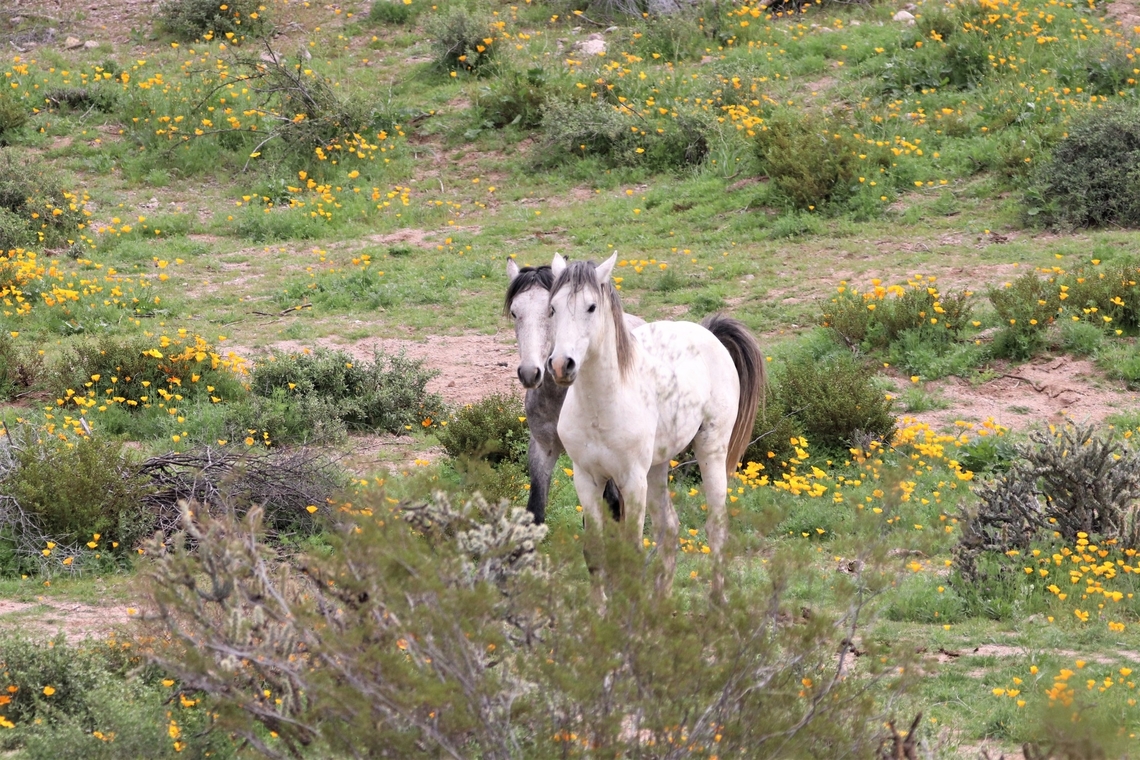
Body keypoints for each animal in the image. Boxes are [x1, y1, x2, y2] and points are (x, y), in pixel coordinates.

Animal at [545, 253, 764, 597]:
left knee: (716, 528)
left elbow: (633, 553)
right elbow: (595, 553)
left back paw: (717, 601)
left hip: (710, 451)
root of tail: (708, 332)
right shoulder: (587, 480)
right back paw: (662, 598)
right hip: (657, 467)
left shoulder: (632, 481)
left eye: (591, 307)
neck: (600, 407)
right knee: (669, 528)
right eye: (553, 307)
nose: (560, 365)